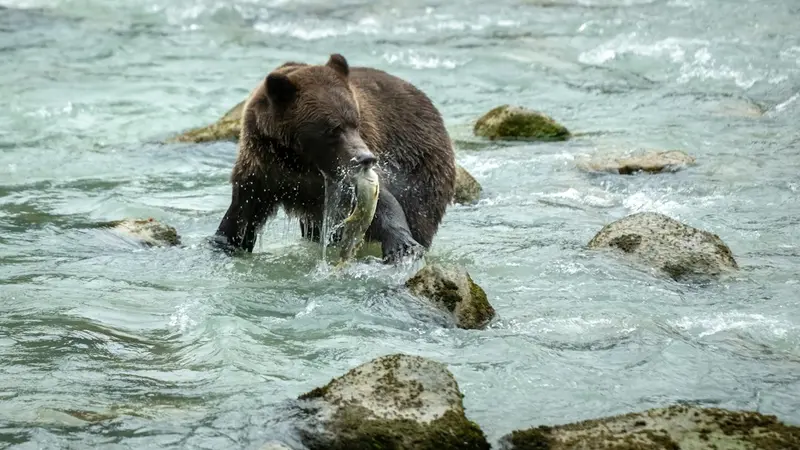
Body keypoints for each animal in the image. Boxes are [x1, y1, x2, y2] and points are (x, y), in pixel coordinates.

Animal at [213, 54, 456, 264]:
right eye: (333, 129)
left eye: (355, 122)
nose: (366, 158)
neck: (300, 160)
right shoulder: (263, 170)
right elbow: (242, 215)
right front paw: (224, 241)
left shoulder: (343, 176)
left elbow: (382, 203)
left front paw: (402, 245)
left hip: (421, 168)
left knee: (419, 212)